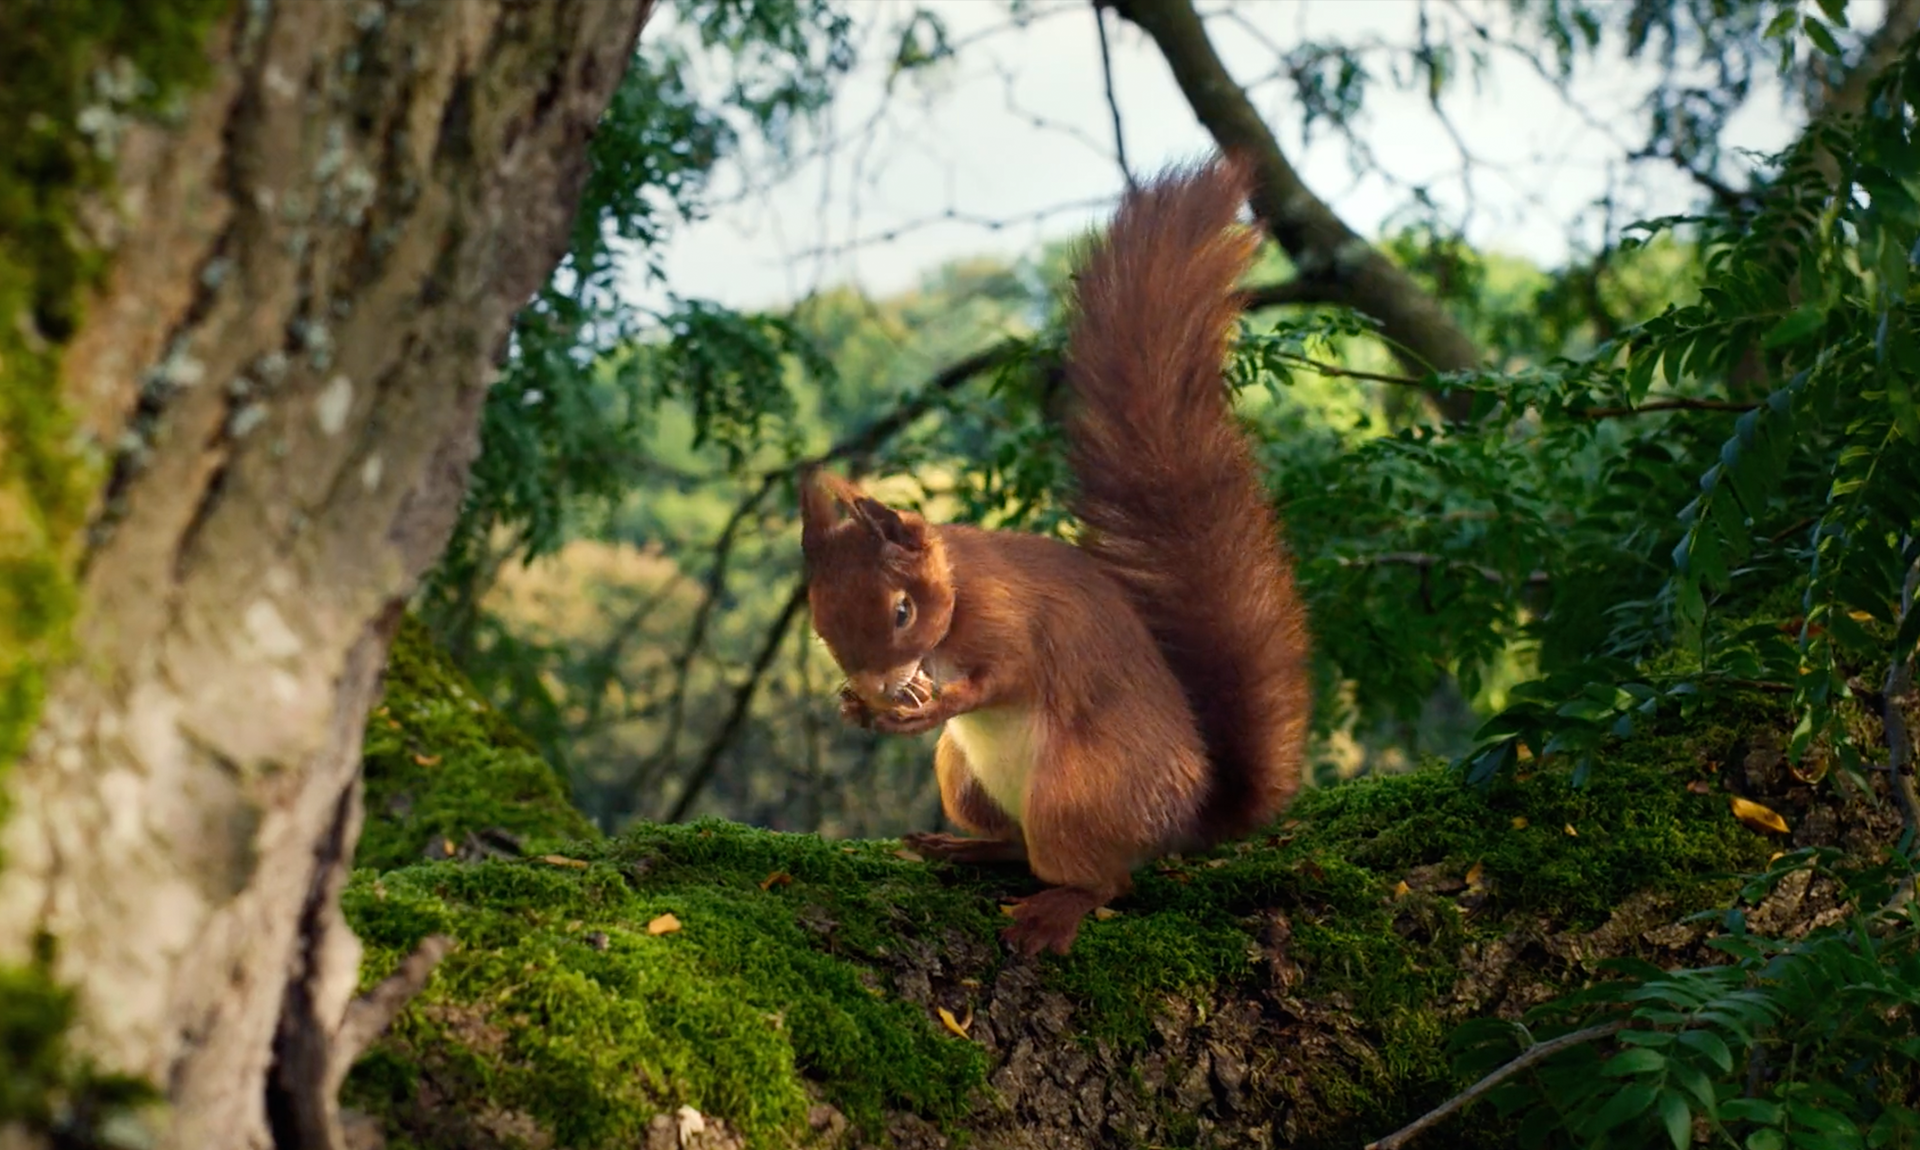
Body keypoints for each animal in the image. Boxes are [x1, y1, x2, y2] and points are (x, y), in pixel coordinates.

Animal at [799, 156, 1312, 956]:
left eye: (903, 610)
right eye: (821, 626)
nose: (880, 689)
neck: (958, 594)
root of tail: (1185, 816)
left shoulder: (1013, 620)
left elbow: (1006, 675)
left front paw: (934, 704)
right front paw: (853, 705)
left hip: (1076, 794)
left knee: (1105, 882)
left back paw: (1054, 910)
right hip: (964, 780)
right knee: (1018, 847)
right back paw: (964, 849)